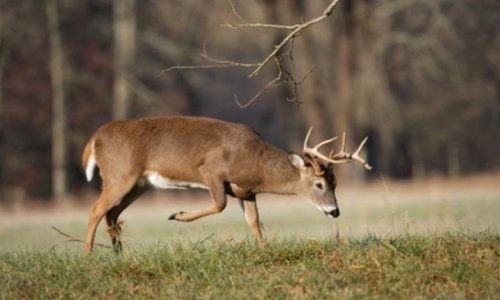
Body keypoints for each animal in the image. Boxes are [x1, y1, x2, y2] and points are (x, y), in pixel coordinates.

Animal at [82, 116, 372, 252]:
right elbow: (219, 205)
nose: (334, 211)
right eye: (320, 184)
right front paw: (177, 215)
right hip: (120, 175)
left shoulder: (246, 191)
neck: (254, 163)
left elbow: (255, 222)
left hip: (138, 184)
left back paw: (119, 253)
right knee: (96, 209)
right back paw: (88, 255)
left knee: (112, 213)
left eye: (336, 183)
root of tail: (94, 139)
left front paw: (264, 250)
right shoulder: (211, 171)